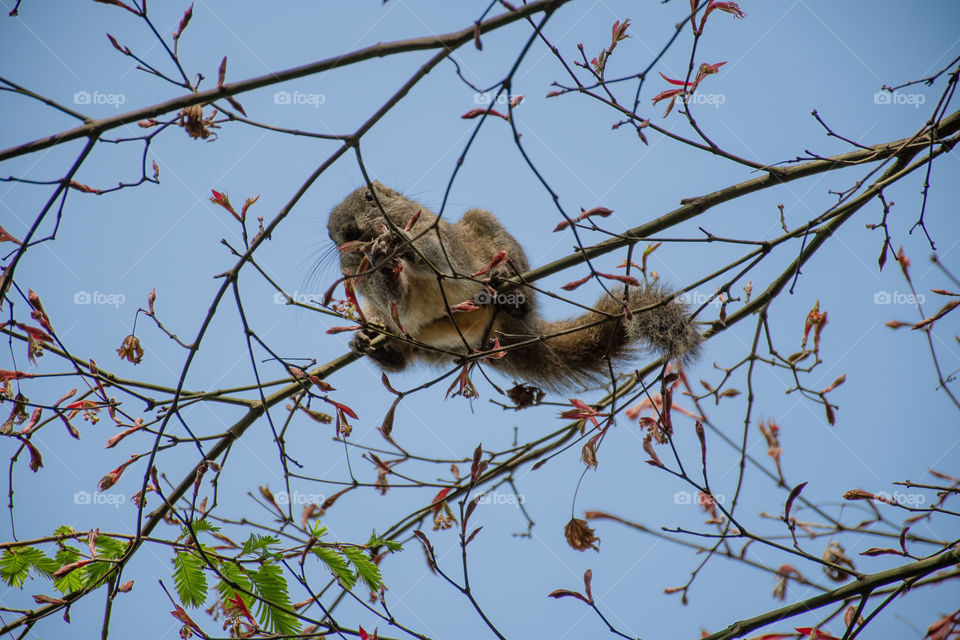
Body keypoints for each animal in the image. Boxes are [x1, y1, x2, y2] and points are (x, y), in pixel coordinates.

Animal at [326, 180, 700, 390]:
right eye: (331, 236)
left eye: (370, 197)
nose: (349, 233)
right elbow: (398, 306)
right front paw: (379, 259)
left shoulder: (439, 236)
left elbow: (439, 256)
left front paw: (398, 240)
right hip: (420, 342)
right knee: (401, 353)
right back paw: (374, 344)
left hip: (491, 237)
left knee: (519, 297)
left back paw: (512, 293)